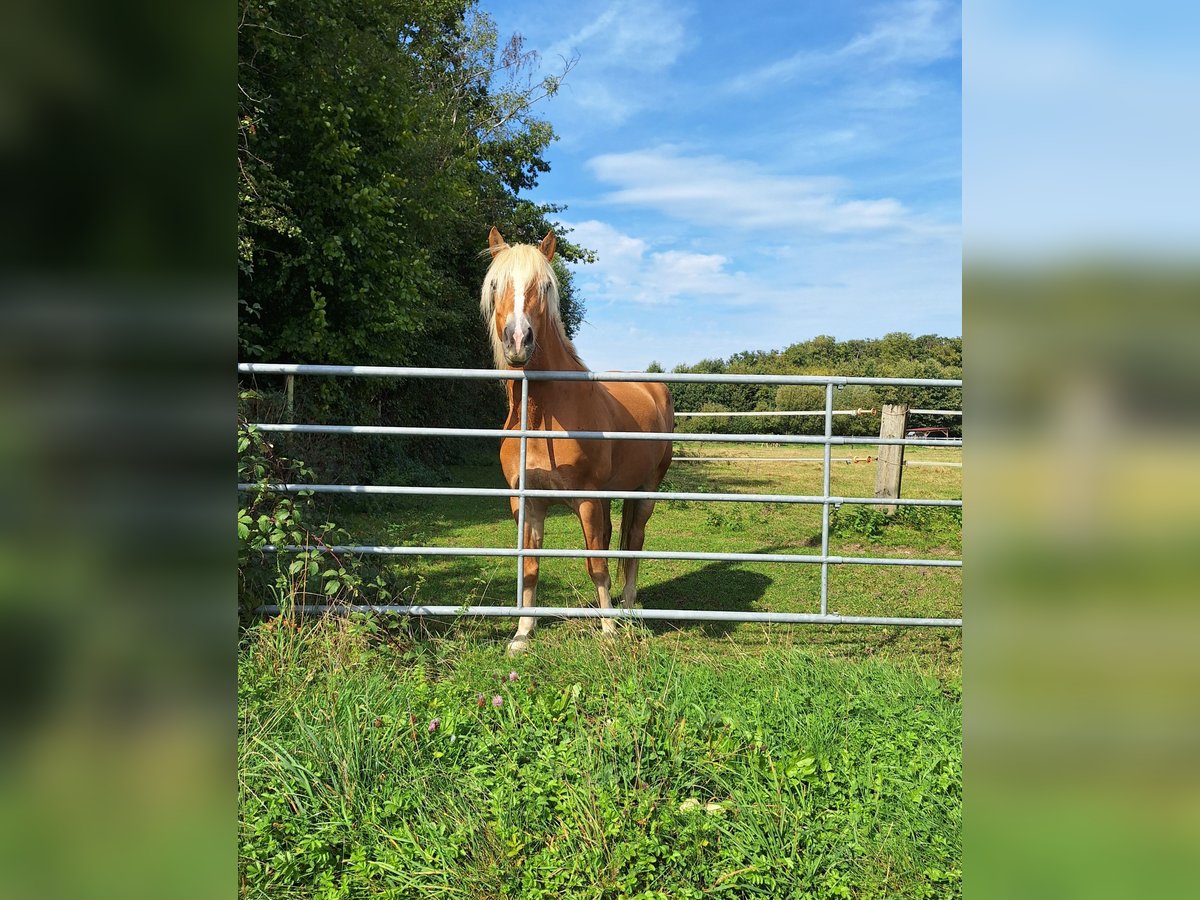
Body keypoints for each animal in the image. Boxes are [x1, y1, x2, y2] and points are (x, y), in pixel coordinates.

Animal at [480, 227, 675, 654]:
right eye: (496, 284)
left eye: (546, 285)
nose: (517, 340)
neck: (541, 418)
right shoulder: (527, 504)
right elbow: (531, 567)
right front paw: (522, 633)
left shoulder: (586, 500)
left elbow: (596, 564)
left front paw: (609, 630)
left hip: (645, 490)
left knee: (634, 543)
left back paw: (629, 610)